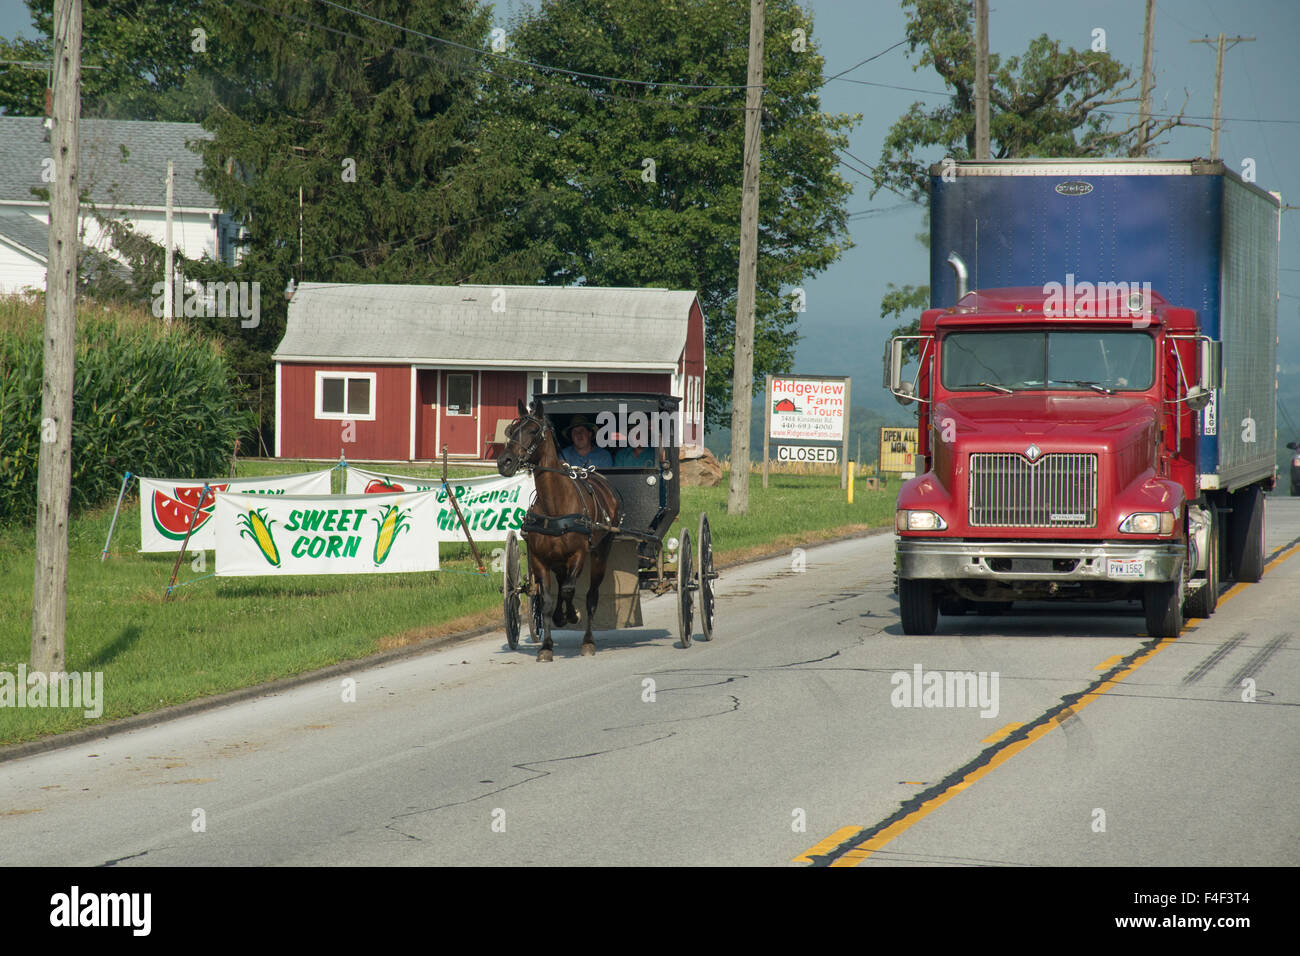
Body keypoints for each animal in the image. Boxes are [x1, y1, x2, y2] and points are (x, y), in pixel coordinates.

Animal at [493, 400, 621, 660]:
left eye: (533, 431)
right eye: (510, 431)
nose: (505, 462)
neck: (555, 506)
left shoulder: (578, 555)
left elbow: (570, 590)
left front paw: (572, 616)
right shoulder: (541, 559)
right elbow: (547, 600)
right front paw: (546, 646)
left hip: (600, 553)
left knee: (591, 595)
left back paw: (588, 639)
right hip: (559, 561)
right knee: (561, 587)